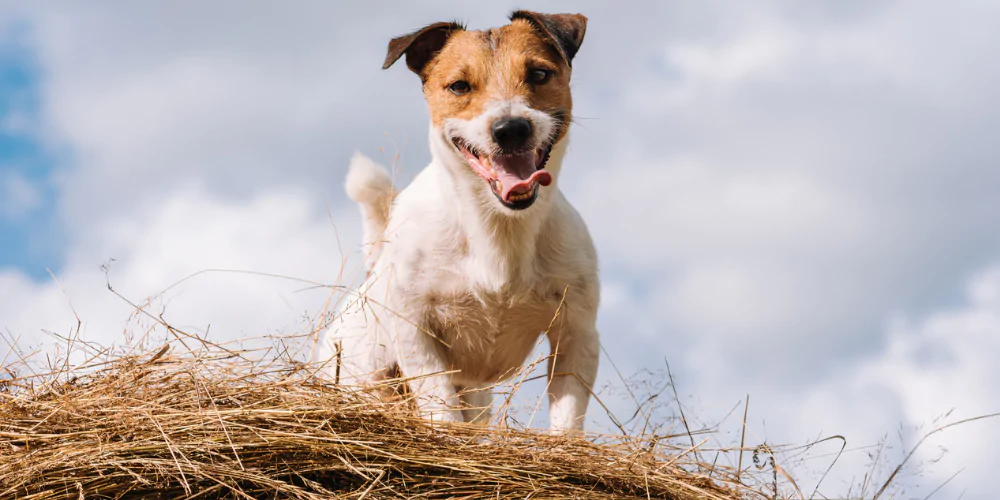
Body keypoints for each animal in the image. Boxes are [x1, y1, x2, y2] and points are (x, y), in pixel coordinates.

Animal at [318, 11, 600, 434]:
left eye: (538, 74)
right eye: (459, 86)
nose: (510, 128)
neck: (498, 228)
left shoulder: (576, 332)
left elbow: (568, 416)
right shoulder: (416, 331)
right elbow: (441, 405)